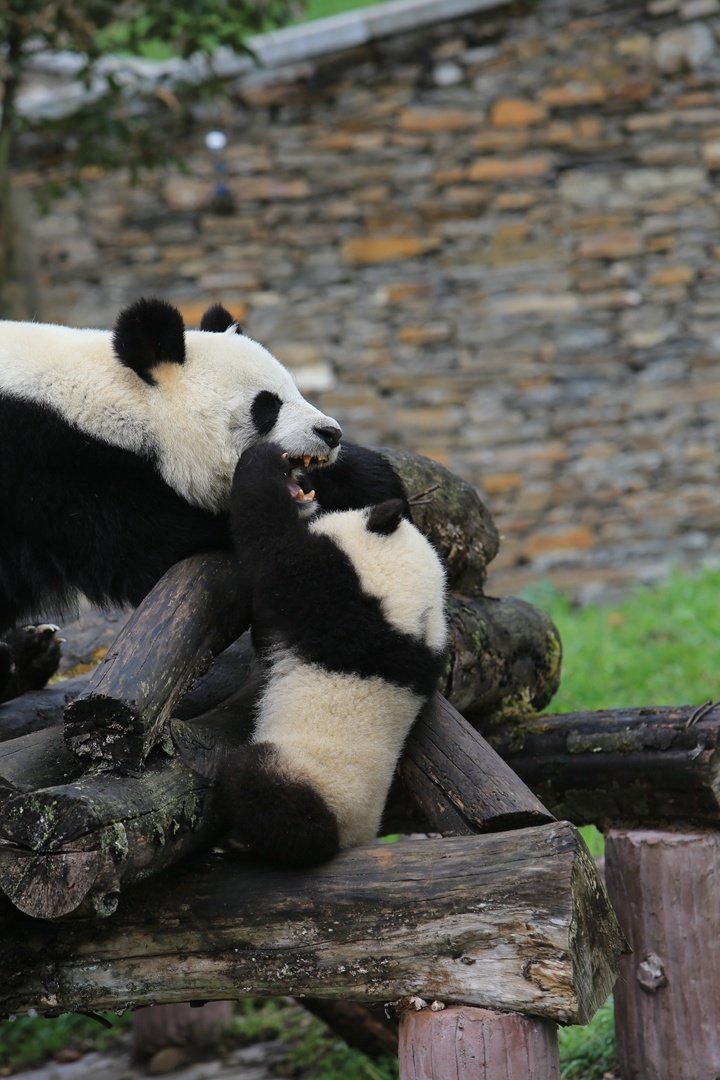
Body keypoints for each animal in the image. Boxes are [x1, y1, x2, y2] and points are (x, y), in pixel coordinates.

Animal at [0, 295, 354, 699]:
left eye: (296, 389)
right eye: (267, 404)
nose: (331, 433)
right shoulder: (52, 467)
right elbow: (151, 545)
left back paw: (33, 650)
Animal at [216, 440, 446, 868]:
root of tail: (354, 838)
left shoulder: (333, 600)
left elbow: (271, 550)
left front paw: (262, 459)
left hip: (313, 780)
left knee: (265, 792)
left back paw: (245, 840)